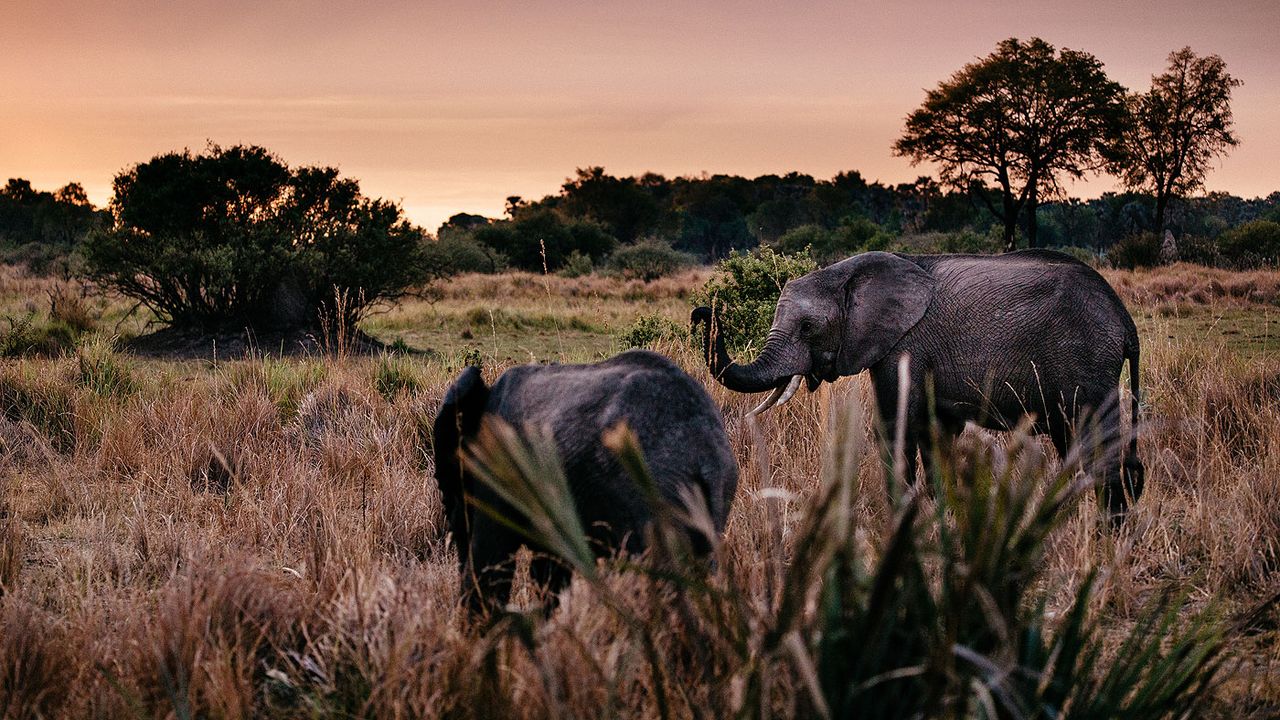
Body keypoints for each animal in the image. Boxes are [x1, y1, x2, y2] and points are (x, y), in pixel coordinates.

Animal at [692, 249, 1144, 521]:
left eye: (807, 328)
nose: (701, 312)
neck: (846, 272)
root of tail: (1125, 321)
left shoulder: (903, 348)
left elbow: (895, 428)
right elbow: (935, 435)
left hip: (1088, 362)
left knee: (1099, 442)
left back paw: (1108, 533)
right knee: (1077, 444)